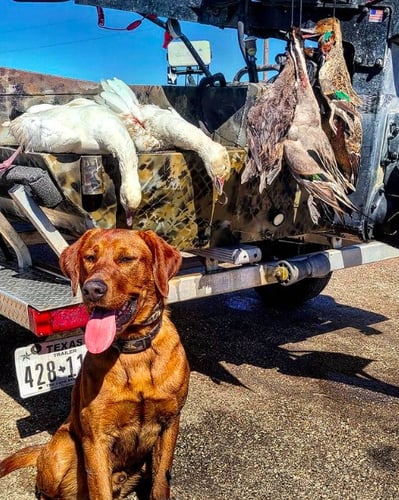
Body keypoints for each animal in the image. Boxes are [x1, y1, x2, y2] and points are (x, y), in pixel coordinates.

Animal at [0, 229, 191, 498]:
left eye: (126, 259)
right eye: (90, 257)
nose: (92, 289)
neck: (133, 353)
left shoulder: (170, 423)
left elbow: (160, 483)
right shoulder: (96, 439)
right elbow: (100, 489)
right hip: (62, 450)